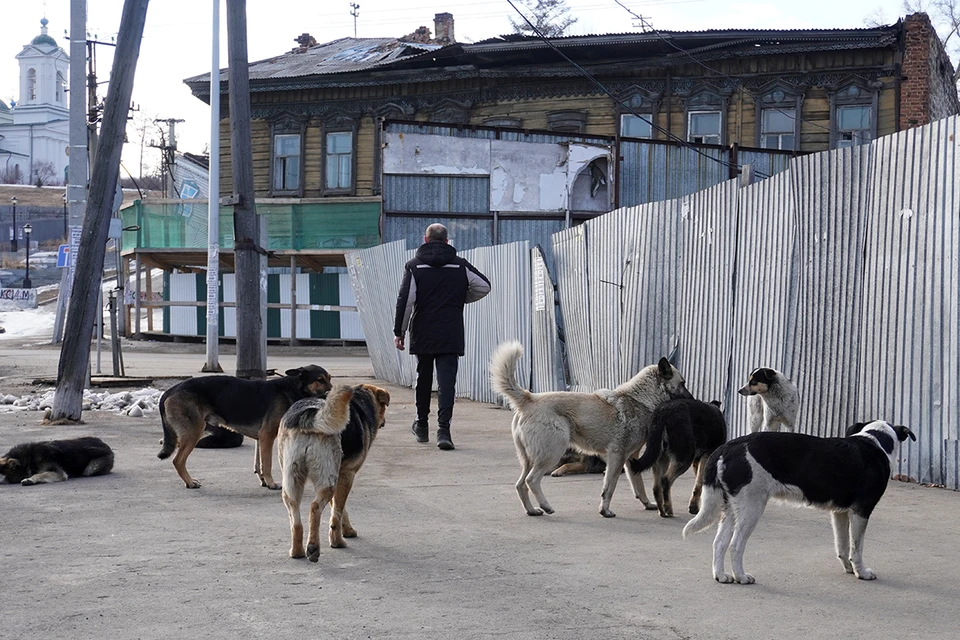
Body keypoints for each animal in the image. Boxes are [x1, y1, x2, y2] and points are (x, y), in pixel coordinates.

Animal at [158, 364, 334, 490]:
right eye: (319, 379)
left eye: (330, 378)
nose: (333, 393)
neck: (293, 387)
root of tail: (171, 390)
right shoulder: (267, 436)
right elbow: (267, 463)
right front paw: (271, 483)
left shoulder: (260, 438)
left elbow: (259, 463)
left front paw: (264, 481)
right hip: (194, 432)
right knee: (178, 461)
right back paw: (189, 482)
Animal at [278, 382, 390, 564]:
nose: (384, 421)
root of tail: (308, 416)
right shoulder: (346, 475)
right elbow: (337, 512)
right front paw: (339, 538)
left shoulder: (339, 477)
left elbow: (338, 508)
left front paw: (347, 529)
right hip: (327, 480)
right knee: (314, 508)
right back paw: (315, 547)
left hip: (292, 480)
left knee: (295, 518)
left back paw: (297, 551)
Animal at [492, 342, 692, 516]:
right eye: (682, 383)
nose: (693, 399)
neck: (641, 399)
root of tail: (529, 399)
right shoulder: (616, 457)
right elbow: (609, 487)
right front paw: (605, 511)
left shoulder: (630, 459)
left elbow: (638, 485)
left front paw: (647, 503)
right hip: (552, 453)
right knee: (531, 481)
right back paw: (546, 506)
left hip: (529, 459)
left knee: (520, 485)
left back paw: (532, 510)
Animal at [684, 420, 916, 584]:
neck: (875, 442)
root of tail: (727, 447)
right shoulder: (861, 510)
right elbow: (856, 548)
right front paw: (862, 572)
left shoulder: (839, 513)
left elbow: (842, 546)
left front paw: (849, 569)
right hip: (752, 506)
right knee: (735, 545)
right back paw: (741, 577)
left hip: (732, 508)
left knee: (719, 542)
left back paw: (721, 575)